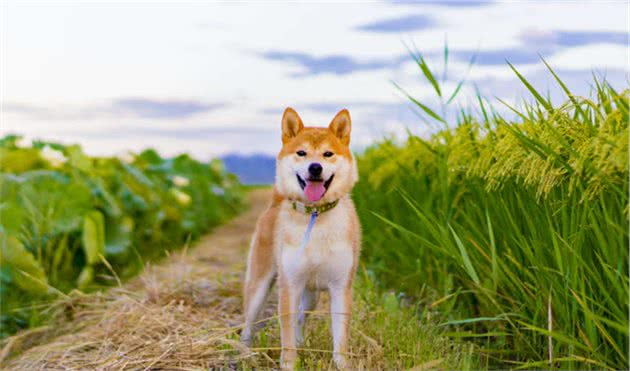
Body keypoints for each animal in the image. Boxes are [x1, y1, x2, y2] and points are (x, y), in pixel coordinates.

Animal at [241, 107, 360, 370]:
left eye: (328, 153)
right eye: (301, 152)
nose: (315, 167)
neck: (316, 215)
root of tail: (273, 205)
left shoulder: (340, 288)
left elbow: (340, 338)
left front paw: (341, 364)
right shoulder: (290, 285)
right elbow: (285, 335)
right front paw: (289, 363)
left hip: (311, 295)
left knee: (299, 319)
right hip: (260, 284)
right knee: (248, 324)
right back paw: (242, 352)